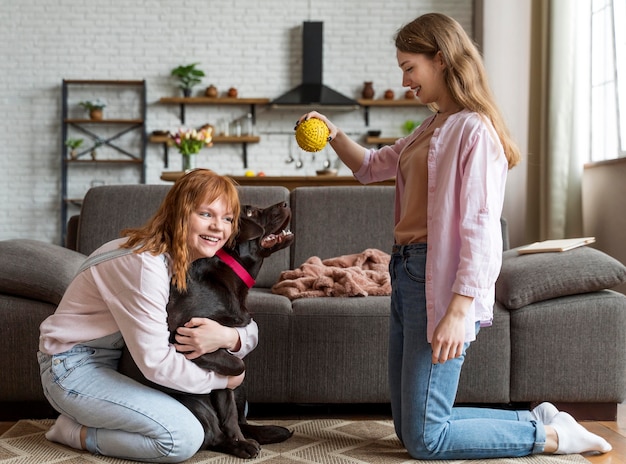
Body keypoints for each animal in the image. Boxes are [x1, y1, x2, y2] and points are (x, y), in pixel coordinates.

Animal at [120, 201, 294, 458]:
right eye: (251, 212)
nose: (285, 203)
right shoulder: (182, 340)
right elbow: (238, 365)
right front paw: (240, 442)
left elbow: (229, 410)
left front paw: (239, 437)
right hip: (194, 403)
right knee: (212, 434)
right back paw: (242, 445)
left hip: (240, 392)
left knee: (238, 420)